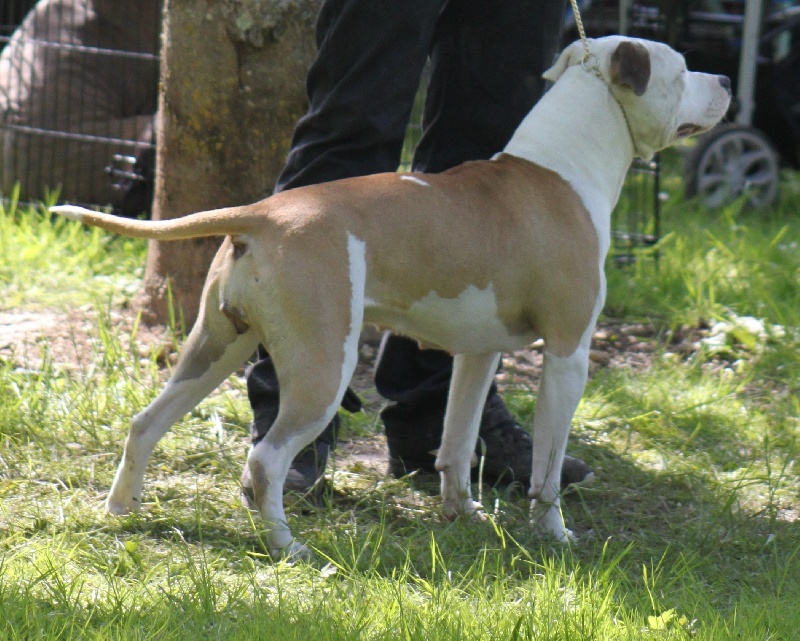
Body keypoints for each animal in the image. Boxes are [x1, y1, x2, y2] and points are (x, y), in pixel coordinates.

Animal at [51, 36, 730, 559]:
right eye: (681, 70)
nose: (724, 77)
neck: (559, 169)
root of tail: (264, 214)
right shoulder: (569, 354)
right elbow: (547, 470)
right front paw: (556, 536)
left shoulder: (477, 354)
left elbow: (456, 442)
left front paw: (464, 516)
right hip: (324, 367)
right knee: (265, 460)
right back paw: (287, 546)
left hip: (215, 349)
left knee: (145, 423)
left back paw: (121, 510)